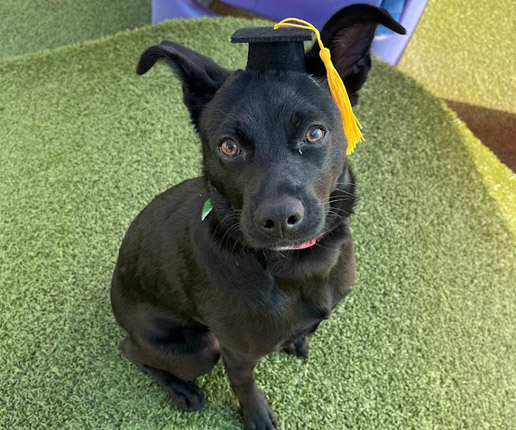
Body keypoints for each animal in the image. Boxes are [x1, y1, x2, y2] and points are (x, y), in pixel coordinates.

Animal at [111, 4, 406, 430]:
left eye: (315, 133)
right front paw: (256, 415)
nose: (280, 219)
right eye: (228, 146)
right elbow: (245, 385)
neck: (298, 266)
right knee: (130, 351)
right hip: (199, 348)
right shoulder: (236, 352)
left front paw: (297, 339)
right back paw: (181, 389)